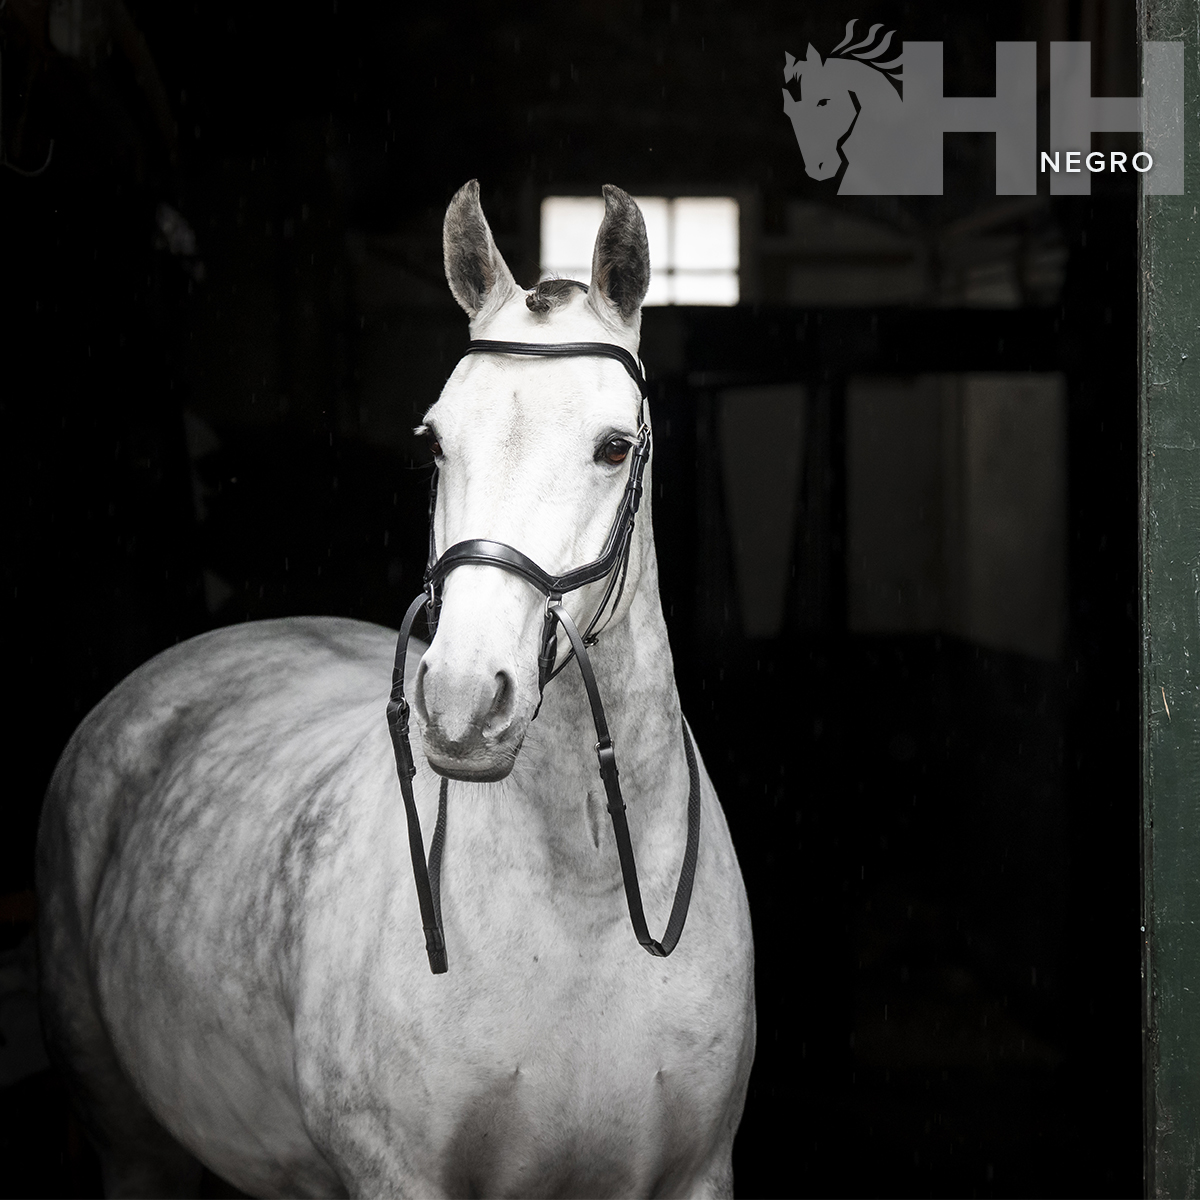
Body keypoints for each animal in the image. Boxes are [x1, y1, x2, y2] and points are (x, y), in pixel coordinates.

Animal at [36, 180, 756, 1199]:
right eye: (436, 443)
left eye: (615, 447)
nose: (460, 702)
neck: (583, 906)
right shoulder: (397, 1175)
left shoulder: (697, 1173)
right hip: (133, 1146)